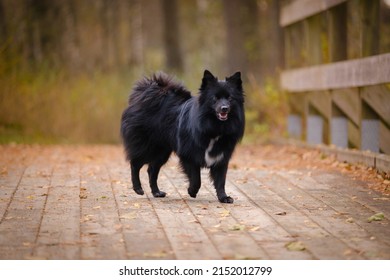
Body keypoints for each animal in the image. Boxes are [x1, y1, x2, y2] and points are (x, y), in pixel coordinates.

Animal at [120, 70, 245, 203]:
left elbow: (220, 180)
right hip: (147, 147)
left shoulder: (221, 157)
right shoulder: (189, 156)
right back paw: (138, 188)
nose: (224, 108)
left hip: (162, 151)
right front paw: (192, 191)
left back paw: (157, 192)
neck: (214, 127)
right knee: (135, 164)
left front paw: (224, 197)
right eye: (215, 98)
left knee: (152, 169)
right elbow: (196, 179)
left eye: (230, 98)